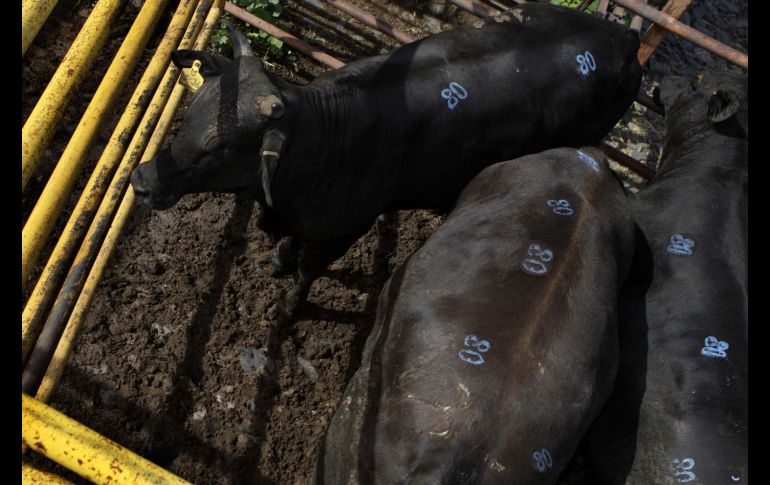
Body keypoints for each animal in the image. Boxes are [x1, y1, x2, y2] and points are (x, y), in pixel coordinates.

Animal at [129, 2, 640, 318]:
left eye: (221, 147)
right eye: (194, 108)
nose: (142, 178)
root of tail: (625, 34)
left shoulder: (344, 232)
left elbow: (308, 271)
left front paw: (290, 307)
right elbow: (291, 248)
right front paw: (276, 259)